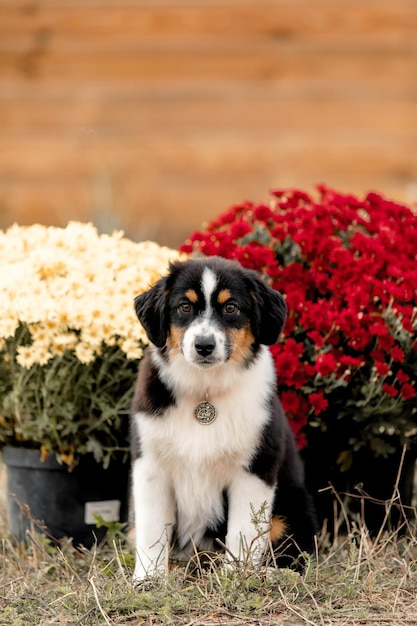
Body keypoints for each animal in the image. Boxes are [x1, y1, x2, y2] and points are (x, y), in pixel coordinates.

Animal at [130, 256, 316, 576]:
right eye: (184, 306)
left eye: (231, 308)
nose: (204, 346)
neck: (205, 391)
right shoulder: (150, 465)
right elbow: (152, 530)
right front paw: (148, 579)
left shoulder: (254, 469)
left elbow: (242, 532)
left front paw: (236, 577)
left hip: (292, 511)